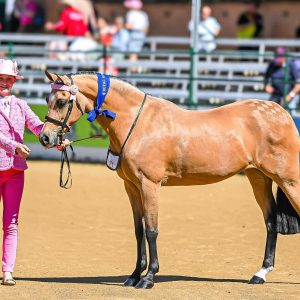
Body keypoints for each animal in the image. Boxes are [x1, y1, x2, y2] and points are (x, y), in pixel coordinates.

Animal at [39, 71, 300, 290]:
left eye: (61, 101)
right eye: (47, 98)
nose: (45, 137)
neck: (137, 122)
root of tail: (283, 114)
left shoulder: (150, 185)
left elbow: (152, 230)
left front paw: (148, 278)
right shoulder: (131, 187)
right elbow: (139, 230)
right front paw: (134, 275)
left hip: (289, 181)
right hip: (259, 178)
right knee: (271, 222)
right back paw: (260, 273)